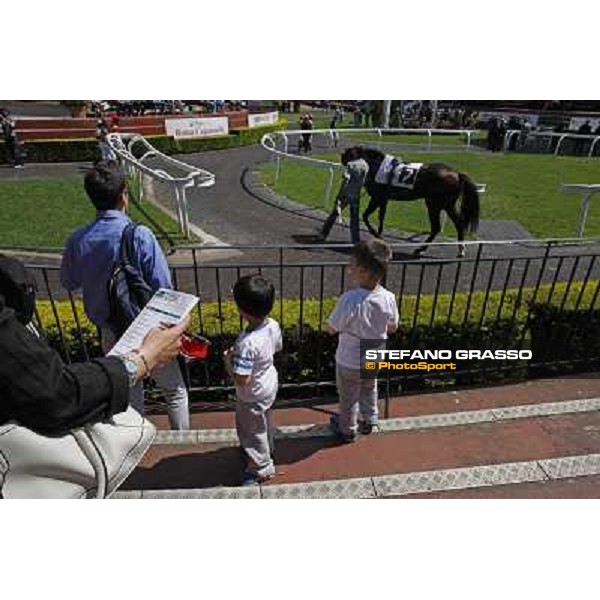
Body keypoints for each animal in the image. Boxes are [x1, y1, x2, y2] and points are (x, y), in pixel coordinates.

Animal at [342, 148, 478, 258]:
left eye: (348, 156)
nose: (342, 158)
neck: (377, 166)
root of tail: (457, 174)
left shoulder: (377, 197)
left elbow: (365, 216)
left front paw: (377, 235)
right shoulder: (383, 199)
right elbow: (381, 217)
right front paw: (379, 236)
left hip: (437, 205)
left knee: (440, 227)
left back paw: (423, 249)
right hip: (444, 205)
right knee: (454, 225)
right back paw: (457, 250)